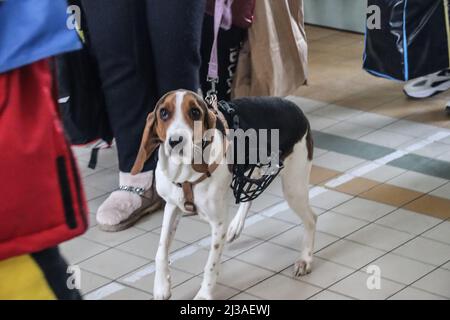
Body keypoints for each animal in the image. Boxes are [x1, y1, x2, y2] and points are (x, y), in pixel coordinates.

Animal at [132, 89, 318, 298]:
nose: (176, 141)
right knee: (249, 196)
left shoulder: (218, 223)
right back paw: (236, 225)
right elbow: (161, 250)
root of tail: (295, 108)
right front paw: (161, 286)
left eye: (195, 112)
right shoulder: (172, 207)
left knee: (311, 219)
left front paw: (204, 295)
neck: (185, 172)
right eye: (163, 113)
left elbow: (211, 265)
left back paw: (305, 259)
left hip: (294, 188)